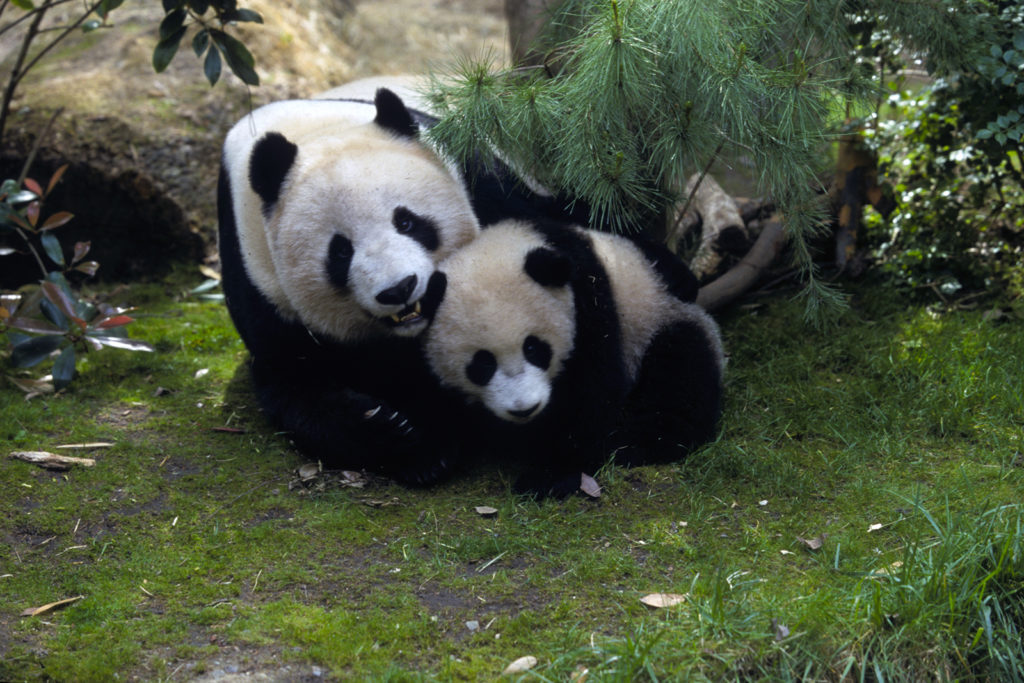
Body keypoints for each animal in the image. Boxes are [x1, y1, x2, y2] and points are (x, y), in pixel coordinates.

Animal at [218, 87, 561, 485]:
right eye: (340, 251)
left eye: (407, 222)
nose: (399, 289)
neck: (313, 131)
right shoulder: (259, 281)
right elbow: (295, 384)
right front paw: (408, 440)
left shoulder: (479, 176)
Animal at [419, 219, 724, 497]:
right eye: (483, 364)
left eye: (534, 348)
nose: (524, 409)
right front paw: (432, 458)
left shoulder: (588, 301)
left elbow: (591, 391)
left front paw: (548, 475)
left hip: (656, 320)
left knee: (680, 371)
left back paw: (639, 440)